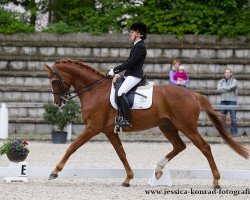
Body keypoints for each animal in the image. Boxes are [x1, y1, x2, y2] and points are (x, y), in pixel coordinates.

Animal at [45, 59, 248, 189]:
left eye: (54, 81)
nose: (57, 103)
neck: (94, 90)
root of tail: (193, 94)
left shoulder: (93, 128)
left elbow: (71, 147)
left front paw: (54, 172)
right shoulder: (109, 131)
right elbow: (121, 154)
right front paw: (128, 179)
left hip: (186, 126)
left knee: (204, 147)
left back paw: (216, 181)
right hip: (166, 126)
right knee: (179, 146)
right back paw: (158, 170)